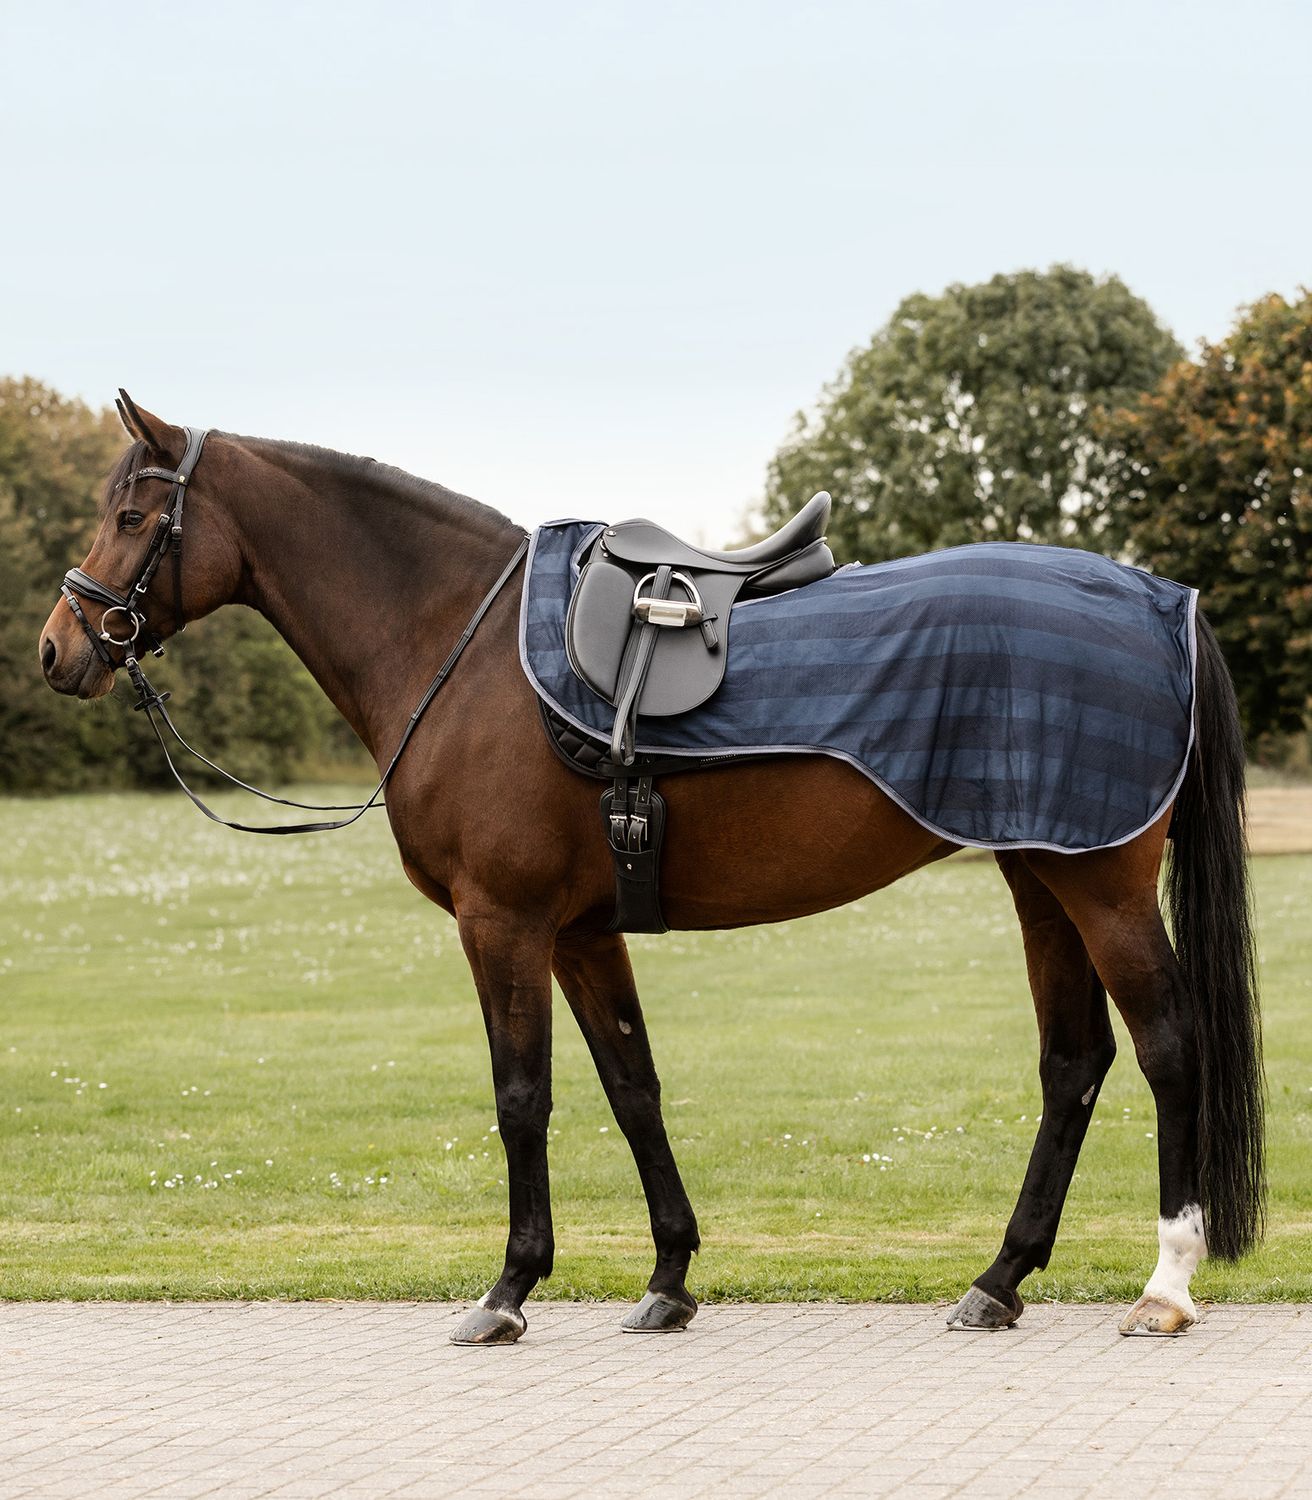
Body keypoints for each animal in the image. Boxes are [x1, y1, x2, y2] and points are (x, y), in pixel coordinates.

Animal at [38, 396, 1265, 1344]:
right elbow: (633, 1087)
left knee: (1167, 1046)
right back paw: (997, 1281)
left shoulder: (502, 923)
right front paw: (669, 1279)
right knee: (1073, 1063)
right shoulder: (582, 932)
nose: (59, 649)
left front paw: (508, 1289)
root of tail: (1162, 601)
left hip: (1101, 886)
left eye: (134, 516)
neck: (460, 644)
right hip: (1039, 877)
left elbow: (522, 1097)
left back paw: (1164, 1285)